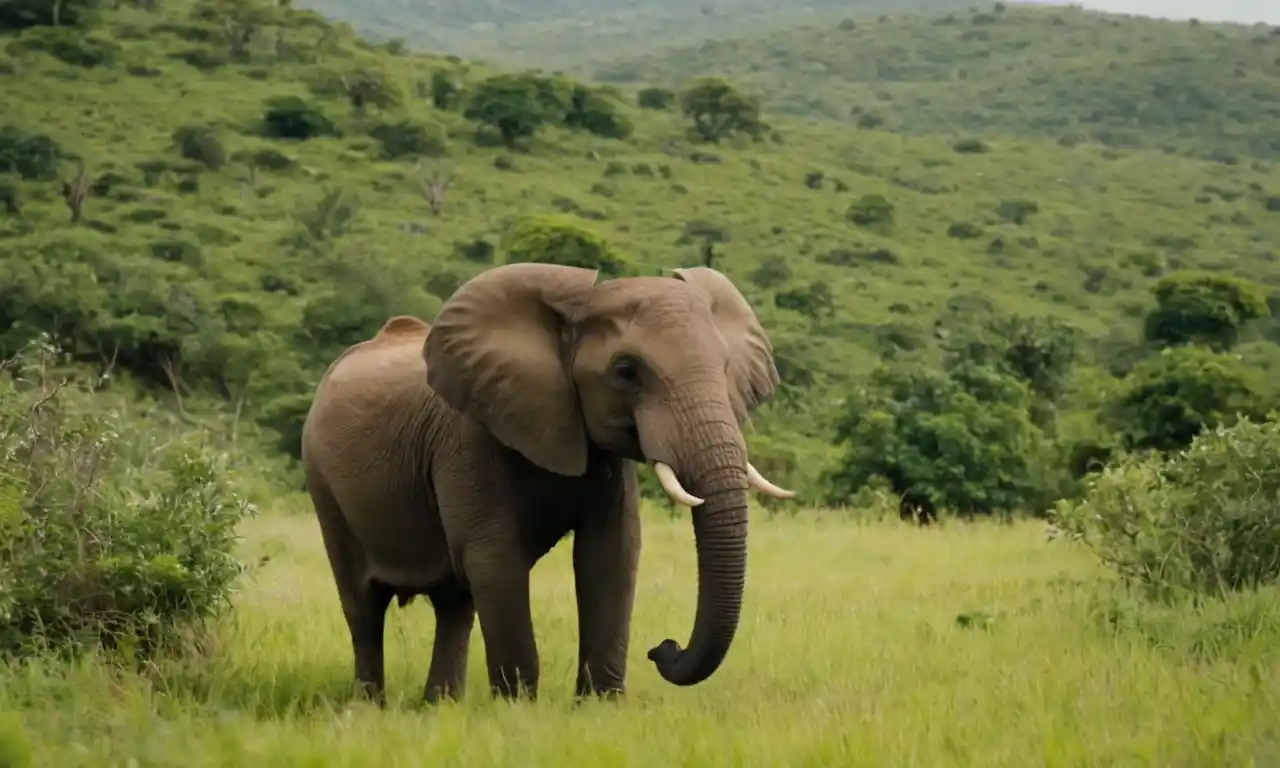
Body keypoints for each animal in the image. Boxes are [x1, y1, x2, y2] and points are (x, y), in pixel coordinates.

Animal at [299, 261, 793, 706]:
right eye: (626, 371)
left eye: (725, 366)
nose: (661, 648)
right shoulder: (469, 438)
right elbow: (495, 558)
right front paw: (518, 708)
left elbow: (611, 552)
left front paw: (600, 705)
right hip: (322, 480)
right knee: (363, 604)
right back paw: (370, 707)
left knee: (454, 603)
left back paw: (441, 706)